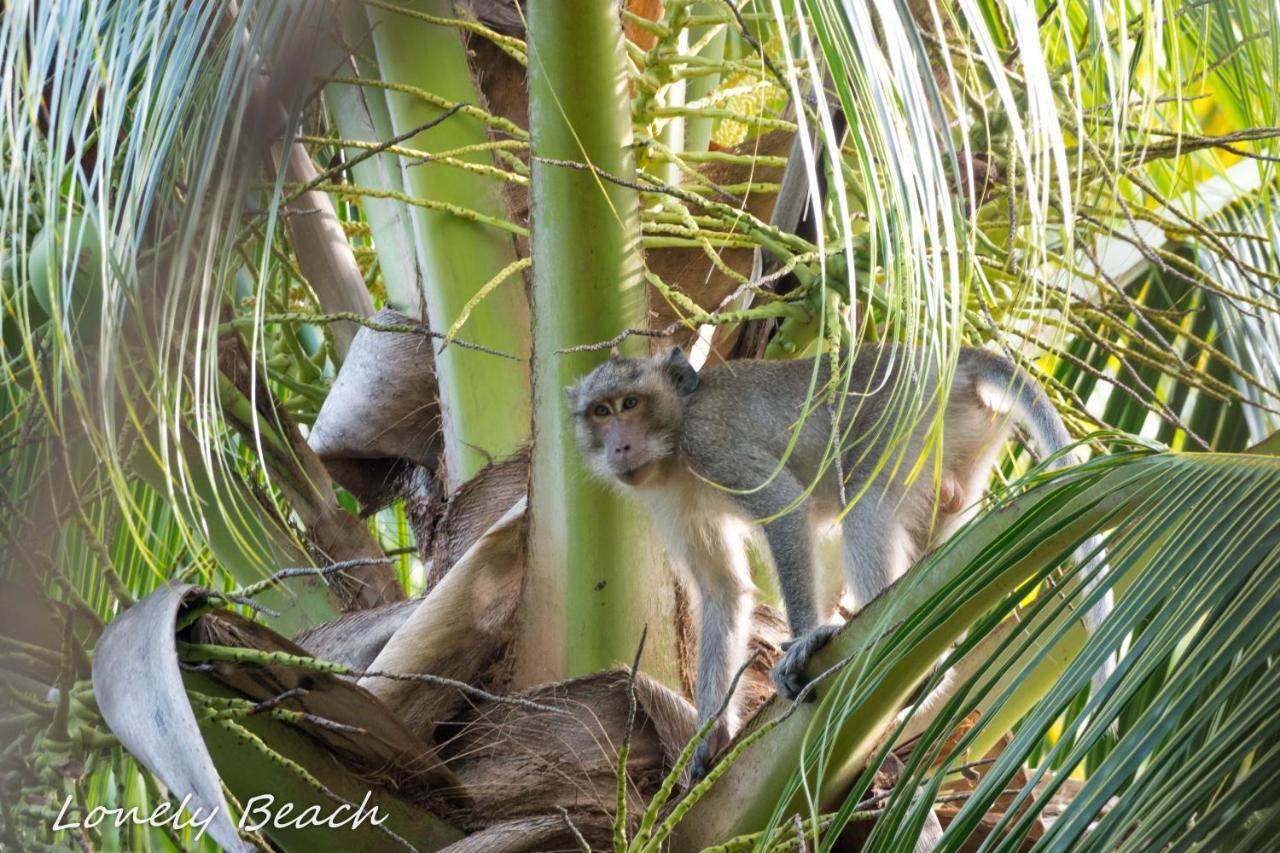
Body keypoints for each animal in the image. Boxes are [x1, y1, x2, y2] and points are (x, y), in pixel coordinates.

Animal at [568, 343, 1111, 773]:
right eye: (600, 412)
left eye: (630, 403)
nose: (620, 446)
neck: (677, 438)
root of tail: (949, 356)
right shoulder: (669, 499)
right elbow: (723, 589)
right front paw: (710, 733)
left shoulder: (712, 444)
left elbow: (787, 511)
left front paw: (806, 638)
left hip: (904, 419)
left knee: (864, 504)